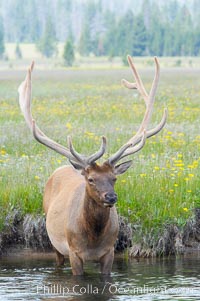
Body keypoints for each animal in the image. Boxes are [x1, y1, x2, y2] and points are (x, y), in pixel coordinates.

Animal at [17, 55, 167, 274]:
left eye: (114, 178)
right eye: (91, 179)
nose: (111, 197)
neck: (93, 240)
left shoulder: (109, 251)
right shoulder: (73, 251)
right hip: (54, 243)